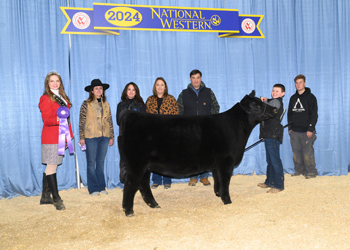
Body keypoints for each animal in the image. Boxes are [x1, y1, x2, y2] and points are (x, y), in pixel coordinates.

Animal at [119, 90, 278, 217]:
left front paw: (218, 194)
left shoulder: (216, 164)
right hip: (136, 163)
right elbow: (225, 181)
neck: (236, 127)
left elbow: (218, 179)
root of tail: (130, 114)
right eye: (256, 105)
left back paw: (154, 204)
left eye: (261, 101)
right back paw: (129, 211)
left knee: (144, 184)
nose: (276, 110)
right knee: (130, 184)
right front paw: (227, 200)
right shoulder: (226, 161)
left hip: (145, 165)